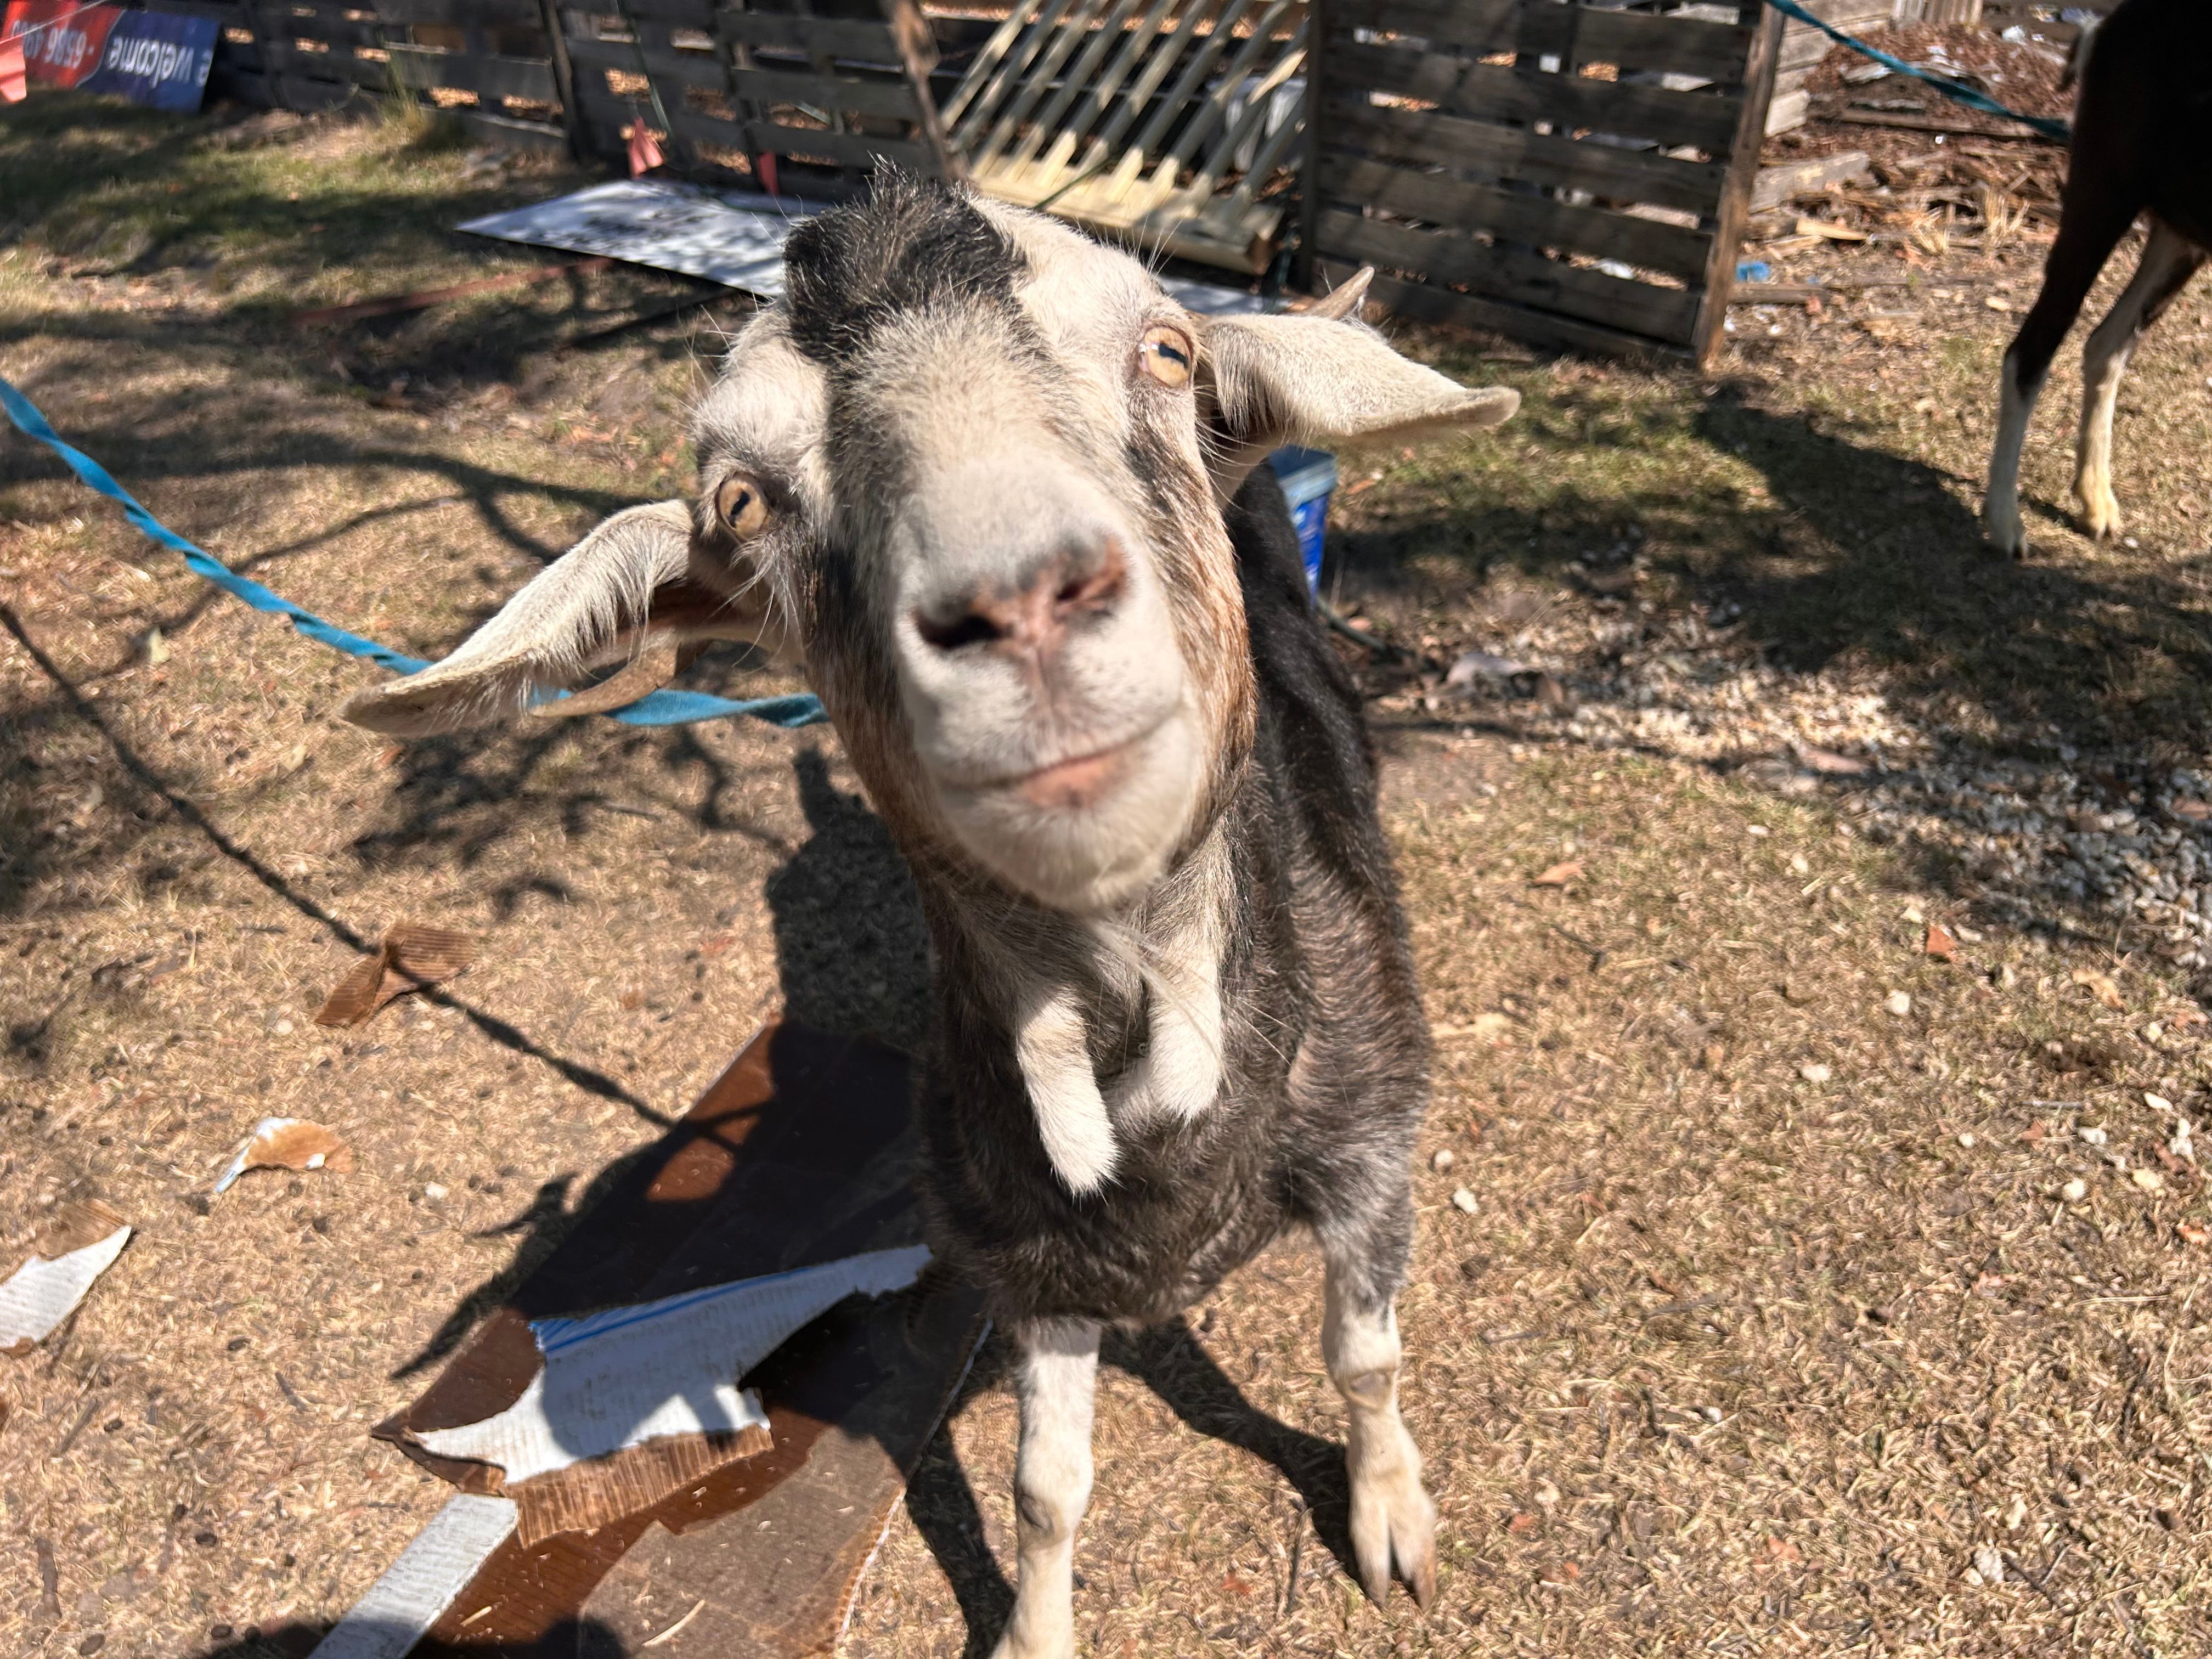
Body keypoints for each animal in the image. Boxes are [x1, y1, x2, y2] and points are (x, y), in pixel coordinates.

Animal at [341, 176, 1519, 1655]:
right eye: (743, 501)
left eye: (1167, 351)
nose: (1020, 602)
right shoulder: (1031, 1263)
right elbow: (1045, 1487)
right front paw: (1034, 1630)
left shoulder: (1374, 1143)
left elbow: (1365, 1352)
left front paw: (1391, 1519)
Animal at [1984, 0, 2210, 558]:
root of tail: (2109, 25)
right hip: (2102, 197)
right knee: (2032, 350)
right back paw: (2005, 522)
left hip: (2182, 231)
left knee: (2106, 344)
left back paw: (2095, 499)